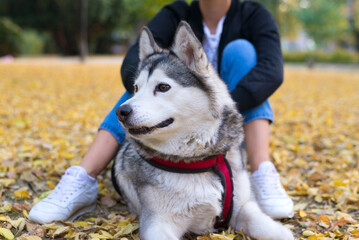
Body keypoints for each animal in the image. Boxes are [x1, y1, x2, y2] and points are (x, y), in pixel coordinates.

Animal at [113, 21, 296, 240]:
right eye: (136, 88)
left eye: (163, 87)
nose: (121, 111)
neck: (200, 161)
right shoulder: (158, 224)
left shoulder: (242, 207)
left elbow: (271, 228)